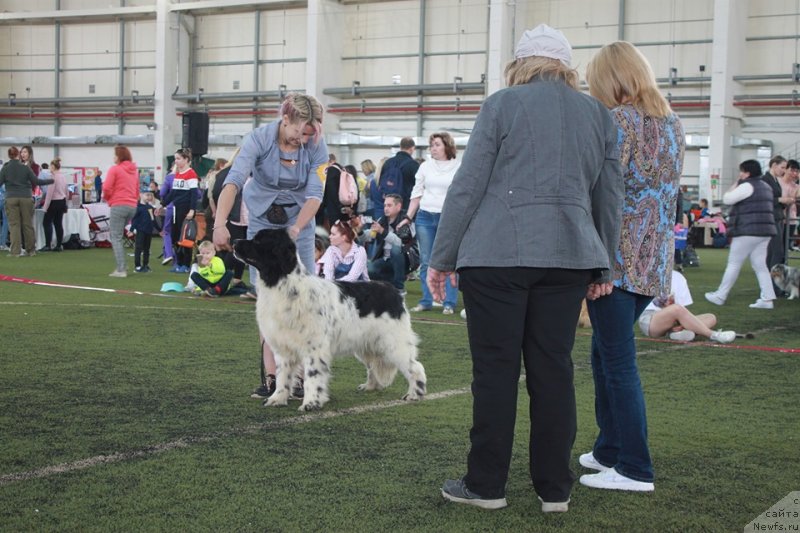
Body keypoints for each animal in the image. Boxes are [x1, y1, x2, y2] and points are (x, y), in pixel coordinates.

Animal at [234, 229, 428, 412]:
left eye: (258, 241)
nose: (235, 241)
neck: (284, 285)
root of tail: (394, 291)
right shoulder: (284, 348)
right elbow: (283, 376)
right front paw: (277, 399)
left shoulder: (314, 348)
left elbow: (312, 377)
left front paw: (311, 403)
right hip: (368, 344)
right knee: (373, 365)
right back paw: (370, 386)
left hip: (393, 343)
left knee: (416, 367)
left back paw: (414, 394)